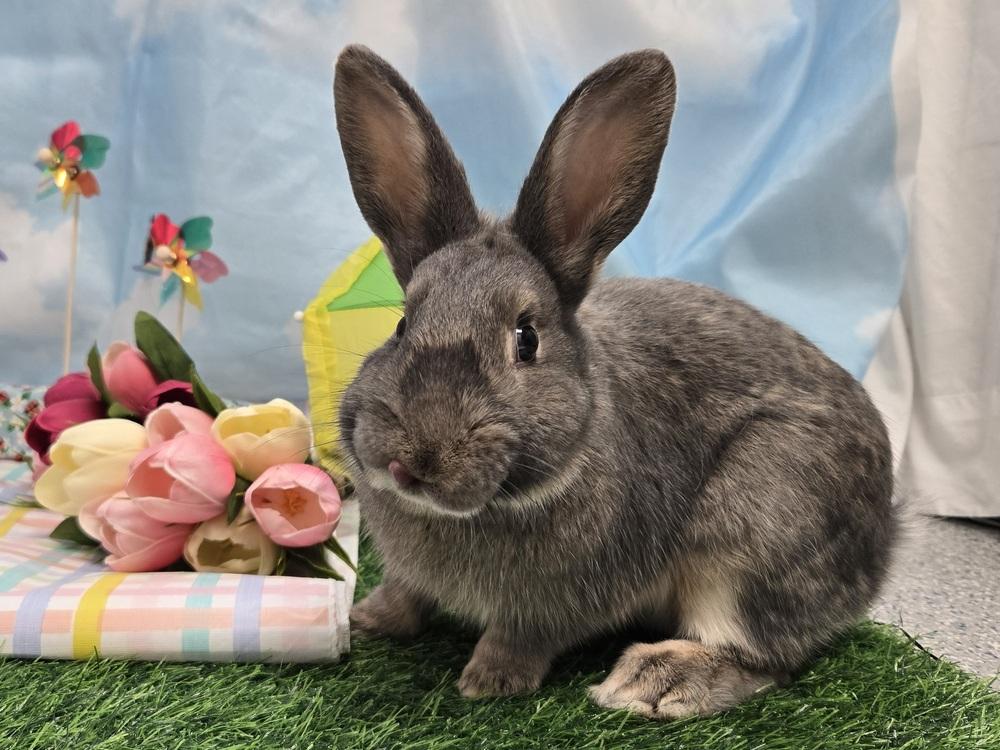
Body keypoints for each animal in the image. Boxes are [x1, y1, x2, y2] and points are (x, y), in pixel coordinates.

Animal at [332, 44, 897, 720]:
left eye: (526, 339)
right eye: (400, 324)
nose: (411, 459)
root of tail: (884, 541)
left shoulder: (556, 602)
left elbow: (522, 634)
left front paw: (489, 681)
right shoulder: (411, 573)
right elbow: (405, 593)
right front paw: (367, 620)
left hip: (759, 526)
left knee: (764, 658)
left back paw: (652, 681)